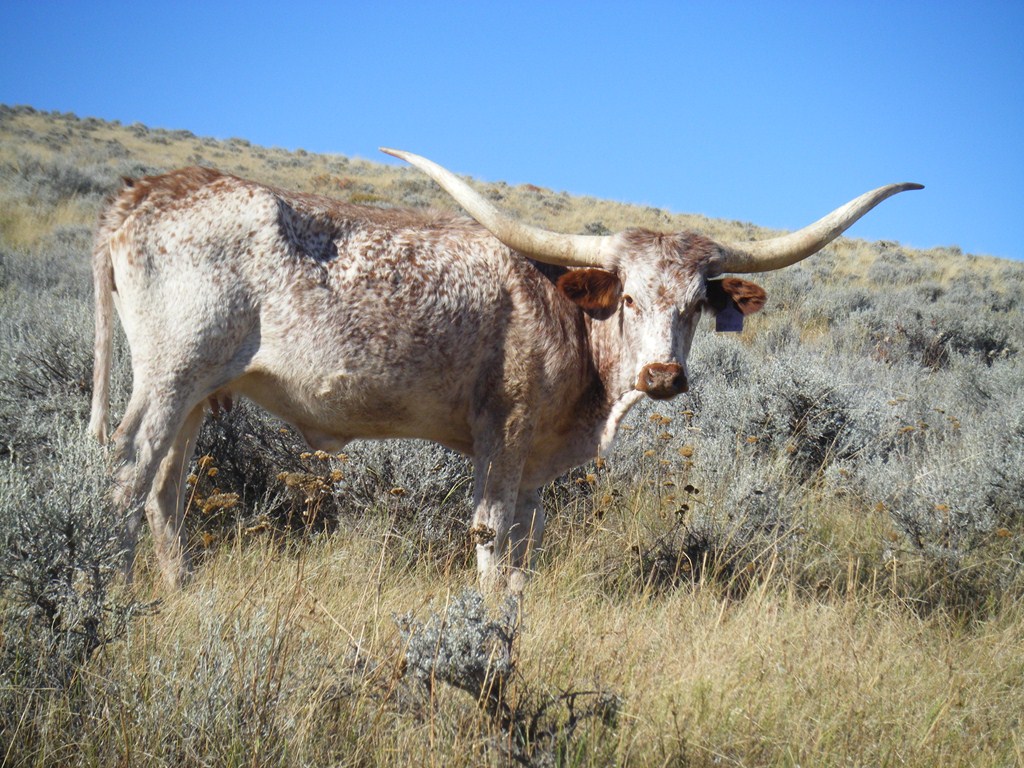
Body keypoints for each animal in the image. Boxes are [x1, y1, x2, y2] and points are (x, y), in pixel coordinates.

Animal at [89, 148, 921, 591]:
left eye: (693, 306)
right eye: (628, 297)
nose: (662, 376)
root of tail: (142, 193)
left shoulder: (538, 463)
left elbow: (525, 545)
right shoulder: (505, 437)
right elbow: (492, 537)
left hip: (199, 393)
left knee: (166, 489)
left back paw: (183, 589)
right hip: (167, 377)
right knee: (128, 473)